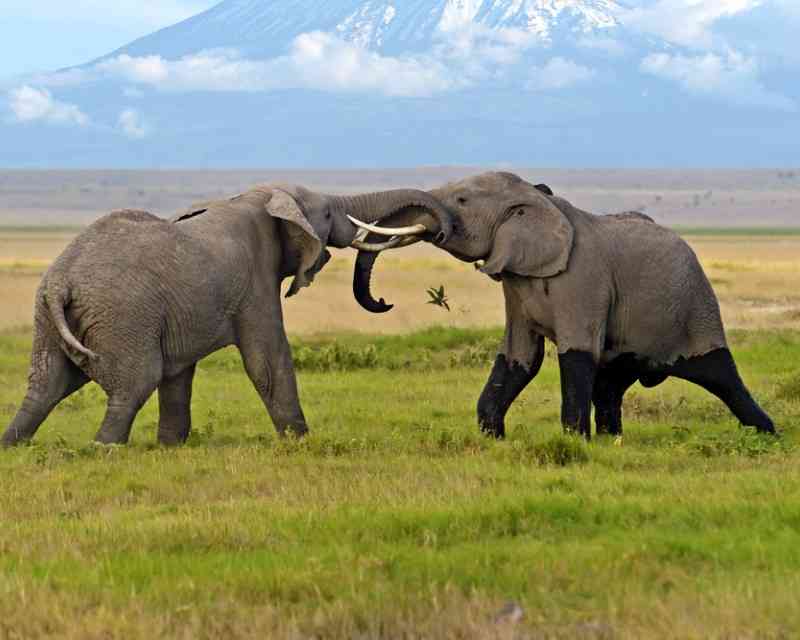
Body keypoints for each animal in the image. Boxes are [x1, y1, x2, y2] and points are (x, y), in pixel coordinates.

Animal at [2, 184, 453, 447]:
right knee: (135, 381)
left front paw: (171, 447)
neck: (258, 197)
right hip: (121, 317)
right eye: (326, 215)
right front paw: (300, 443)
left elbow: (179, 374)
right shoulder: (256, 280)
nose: (384, 302)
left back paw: (13, 445)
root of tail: (61, 283)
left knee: (46, 385)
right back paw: (104, 448)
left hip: (50, 319)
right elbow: (267, 359)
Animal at [352, 171, 775, 439]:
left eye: (461, 200)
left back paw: (767, 434)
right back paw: (611, 441)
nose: (384, 301)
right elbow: (520, 357)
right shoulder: (515, 283)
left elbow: (575, 355)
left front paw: (573, 443)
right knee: (611, 384)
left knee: (721, 375)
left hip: (696, 308)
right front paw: (493, 439)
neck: (537, 201)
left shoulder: (584, 280)